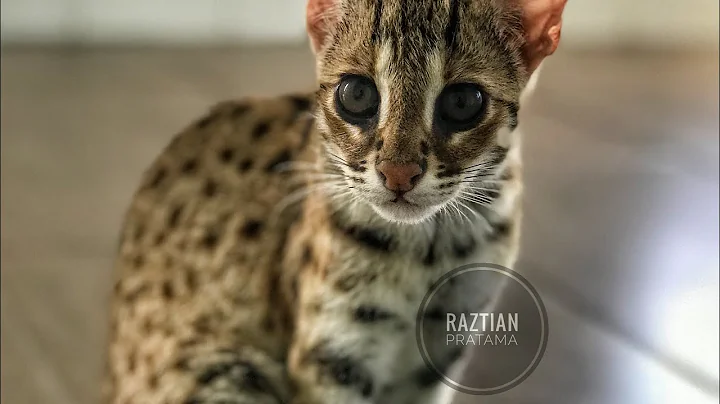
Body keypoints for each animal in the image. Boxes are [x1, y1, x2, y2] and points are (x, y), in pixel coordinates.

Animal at [104, 0, 566, 403]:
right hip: (225, 370)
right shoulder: (333, 353)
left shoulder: (443, 349)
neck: (429, 251)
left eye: (463, 101)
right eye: (356, 94)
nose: (398, 173)